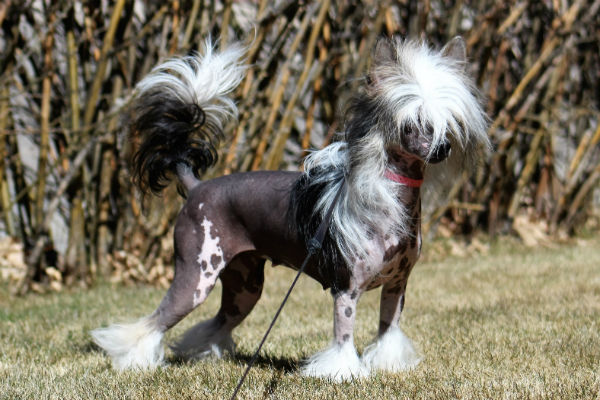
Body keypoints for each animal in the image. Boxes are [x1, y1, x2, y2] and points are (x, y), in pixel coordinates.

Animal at [91, 36, 490, 382]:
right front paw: (344, 374)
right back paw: (133, 360)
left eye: (449, 120)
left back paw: (205, 354)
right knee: (154, 322)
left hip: (244, 287)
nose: (442, 149)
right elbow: (343, 338)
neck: (392, 204)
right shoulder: (347, 291)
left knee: (218, 322)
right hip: (195, 278)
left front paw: (388, 365)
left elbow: (388, 331)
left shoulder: (396, 287)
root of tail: (197, 186)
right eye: (412, 123)